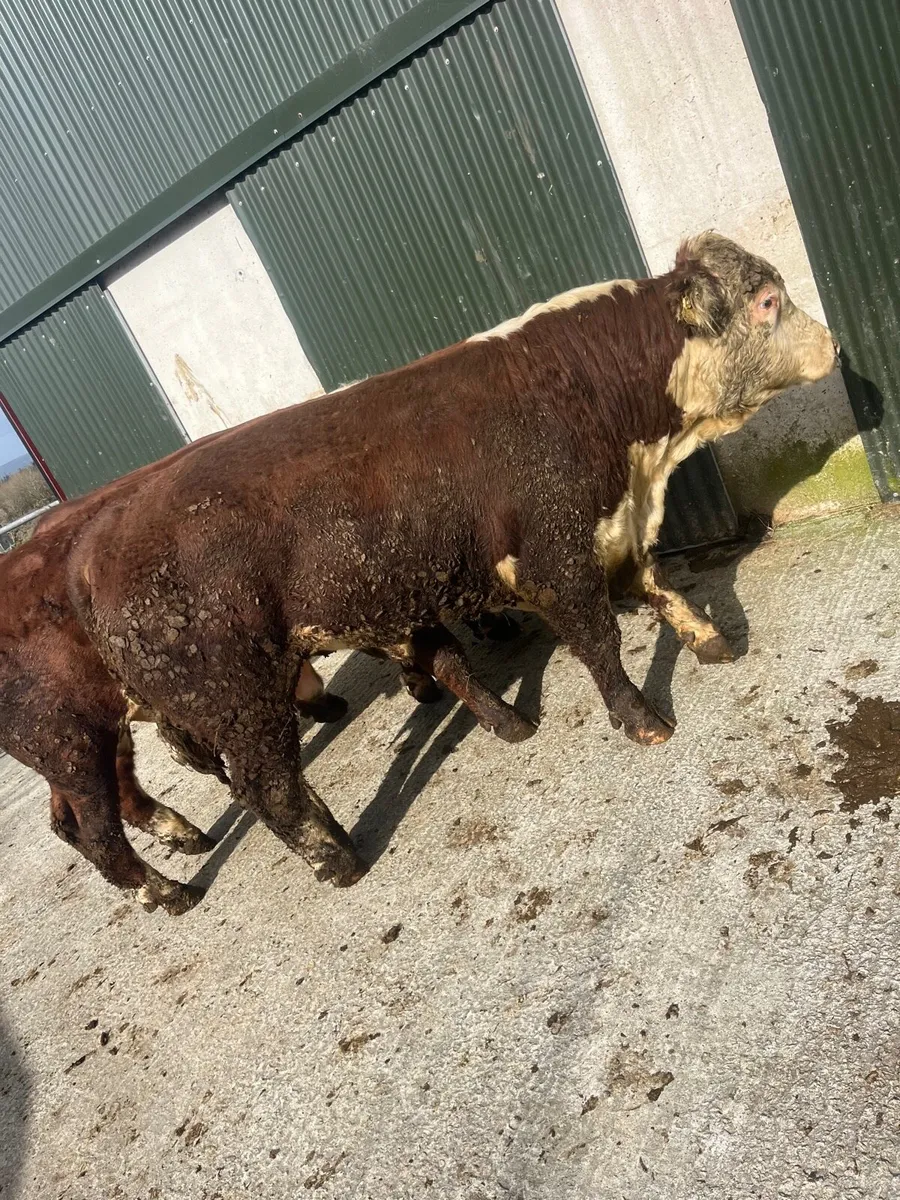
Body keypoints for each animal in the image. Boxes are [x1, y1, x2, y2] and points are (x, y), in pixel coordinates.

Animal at [69, 233, 838, 912]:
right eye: (767, 301)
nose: (833, 344)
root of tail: (97, 550)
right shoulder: (556, 558)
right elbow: (599, 642)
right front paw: (642, 719)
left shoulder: (612, 528)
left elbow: (656, 587)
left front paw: (711, 641)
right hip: (236, 702)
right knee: (252, 791)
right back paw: (320, 864)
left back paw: (503, 729)